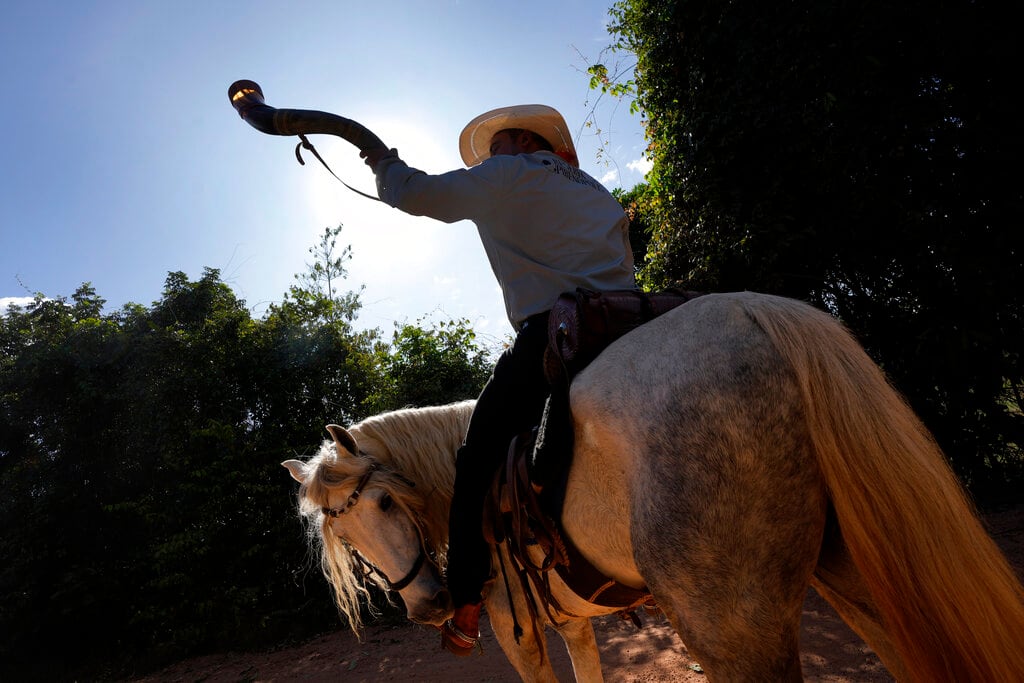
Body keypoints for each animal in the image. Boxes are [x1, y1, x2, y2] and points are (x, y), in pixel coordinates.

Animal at [284, 290, 1024, 679]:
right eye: (348, 537)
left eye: (387, 501)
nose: (431, 606)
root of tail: (753, 311)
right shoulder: (575, 625)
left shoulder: (518, 635)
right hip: (855, 577)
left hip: (732, 626)